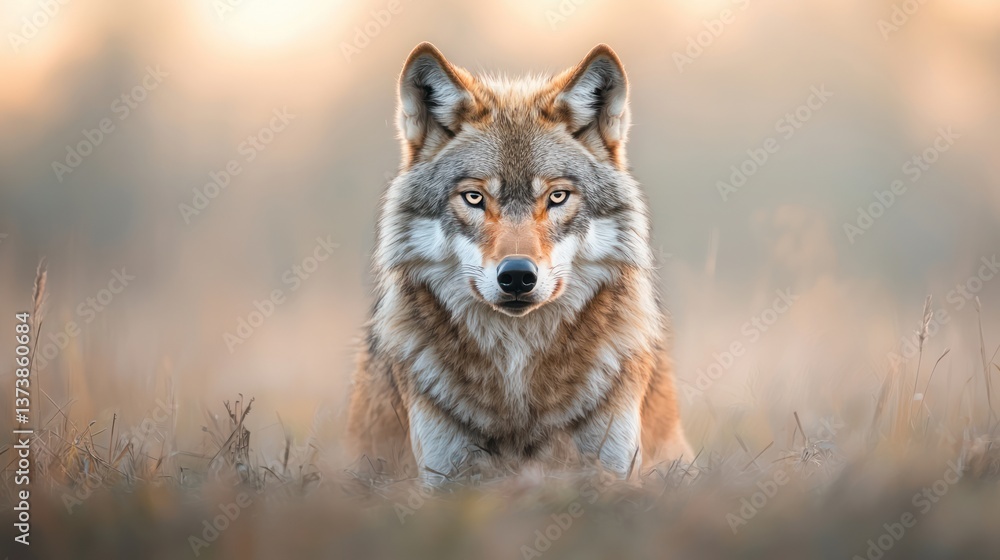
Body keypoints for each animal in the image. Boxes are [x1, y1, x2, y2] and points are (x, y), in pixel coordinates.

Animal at [347, 42, 692, 482]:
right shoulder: (444, 474)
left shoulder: (613, 469)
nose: (516, 276)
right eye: (474, 198)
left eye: (557, 197)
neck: (517, 367)